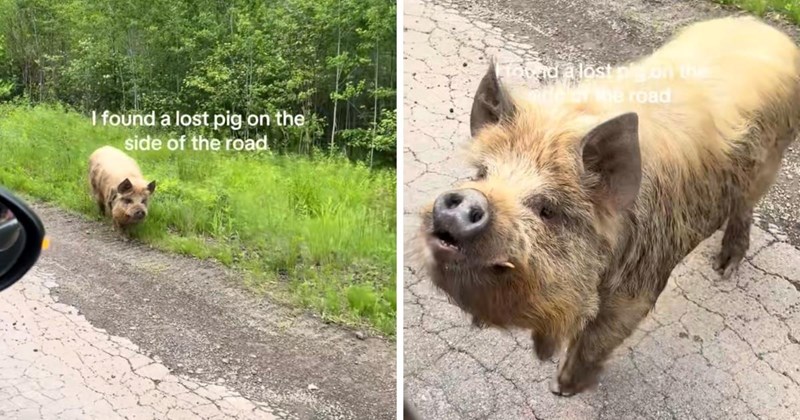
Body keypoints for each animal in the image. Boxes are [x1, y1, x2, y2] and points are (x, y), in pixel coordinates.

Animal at [416, 17, 800, 396]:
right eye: (482, 173)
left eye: (548, 209)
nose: (465, 202)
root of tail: (771, 32)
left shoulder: (640, 283)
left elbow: (601, 336)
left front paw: (561, 387)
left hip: (771, 160)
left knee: (745, 206)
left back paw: (725, 269)